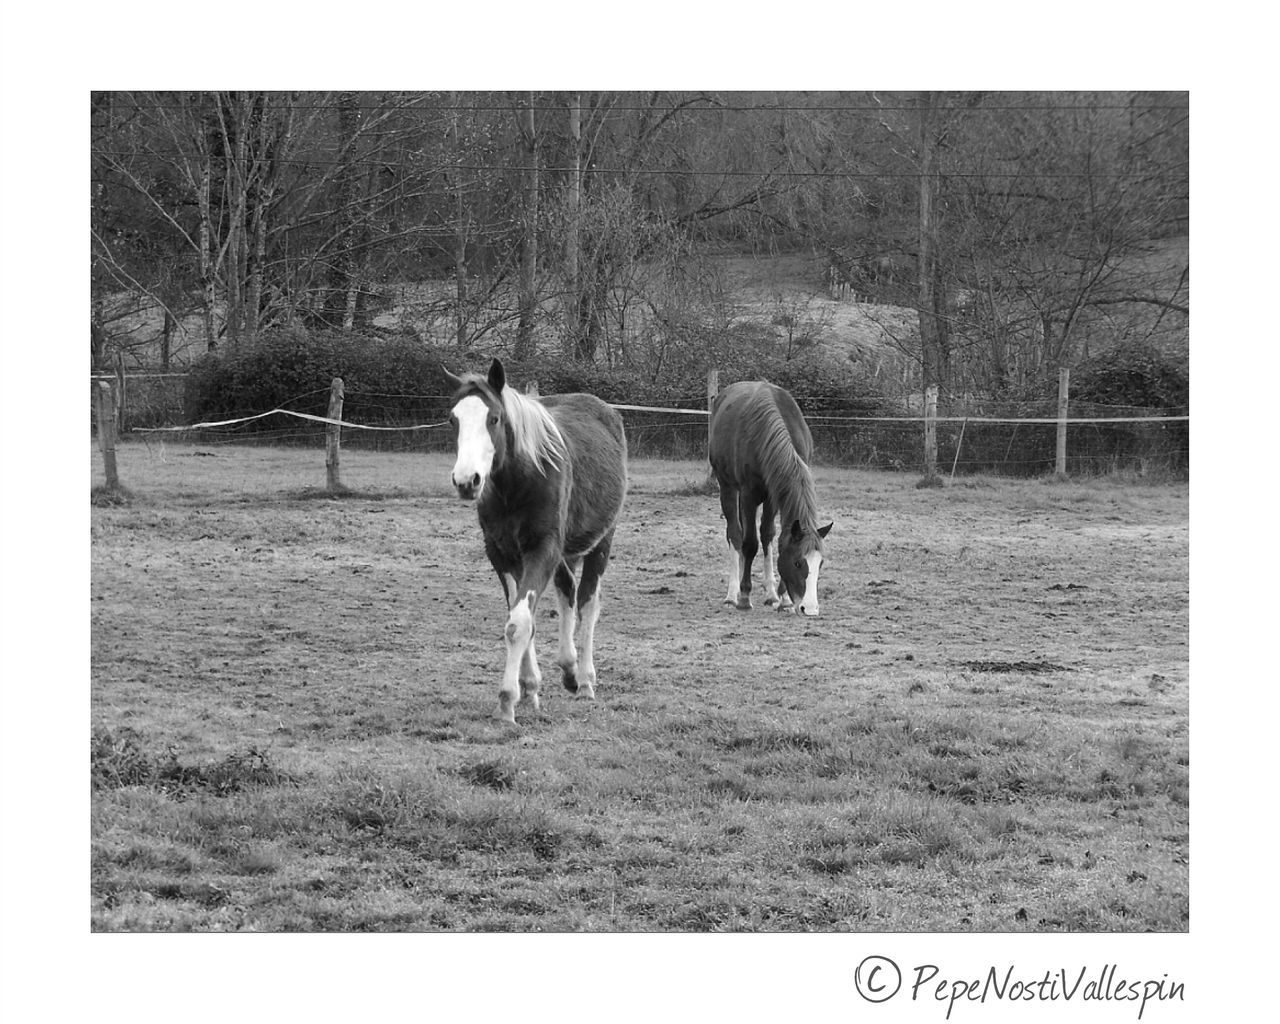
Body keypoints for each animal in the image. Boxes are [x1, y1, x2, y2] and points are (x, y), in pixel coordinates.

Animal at [442, 355, 627, 721]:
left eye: (494, 418)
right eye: (453, 419)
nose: (467, 481)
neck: (517, 483)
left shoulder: (541, 550)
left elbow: (519, 624)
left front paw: (507, 701)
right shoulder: (502, 555)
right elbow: (519, 617)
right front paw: (529, 690)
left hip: (600, 542)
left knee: (587, 602)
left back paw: (585, 681)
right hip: (562, 552)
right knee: (568, 590)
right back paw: (569, 670)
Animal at [706, 381, 834, 616]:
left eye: (820, 564)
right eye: (797, 563)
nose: (810, 608)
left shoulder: (774, 496)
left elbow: (771, 536)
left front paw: (782, 598)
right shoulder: (748, 495)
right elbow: (749, 544)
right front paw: (744, 596)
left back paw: (770, 593)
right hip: (727, 487)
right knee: (735, 534)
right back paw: (732, 594)